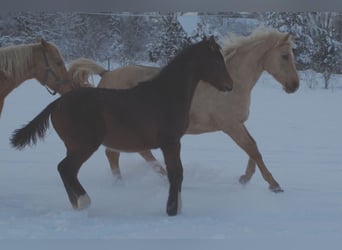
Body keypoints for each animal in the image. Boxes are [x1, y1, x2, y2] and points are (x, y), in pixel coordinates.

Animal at [11, 36, 235, 216]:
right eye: (217, 60)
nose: (230, 86)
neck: (166, 95)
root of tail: (57, 103)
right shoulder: (170, 142)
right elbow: (176, 173)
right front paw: (172, 210)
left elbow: (175, 173)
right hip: (85, 145)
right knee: (66, 168)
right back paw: (84, 202)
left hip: (74, 146)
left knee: (67, 170)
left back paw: (77, 204)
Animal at [68, 26, 298, 191]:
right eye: (285, 56)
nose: (294, 86)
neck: (232, 83)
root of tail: (106, 74)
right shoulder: (230, 125)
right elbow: (252, 148)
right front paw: (274, 184)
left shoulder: (238, 123)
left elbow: (253, 147)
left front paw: (244, 178)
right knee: (117, 153)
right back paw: (127, 182)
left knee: (132, 152)